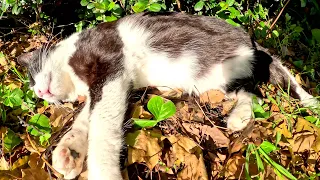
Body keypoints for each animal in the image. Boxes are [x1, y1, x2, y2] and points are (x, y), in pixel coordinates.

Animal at [16, 11, 318, 179]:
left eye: (33, 74)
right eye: (46, 99)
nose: (40, 92)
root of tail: (253, 41)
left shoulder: (111, 67)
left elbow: (102, 126)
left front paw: (103, 172)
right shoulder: (105, 84)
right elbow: (85, 117)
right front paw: (69, 152)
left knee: (256, 93)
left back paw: (238, 119)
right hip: (215, 79)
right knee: (250, 92)